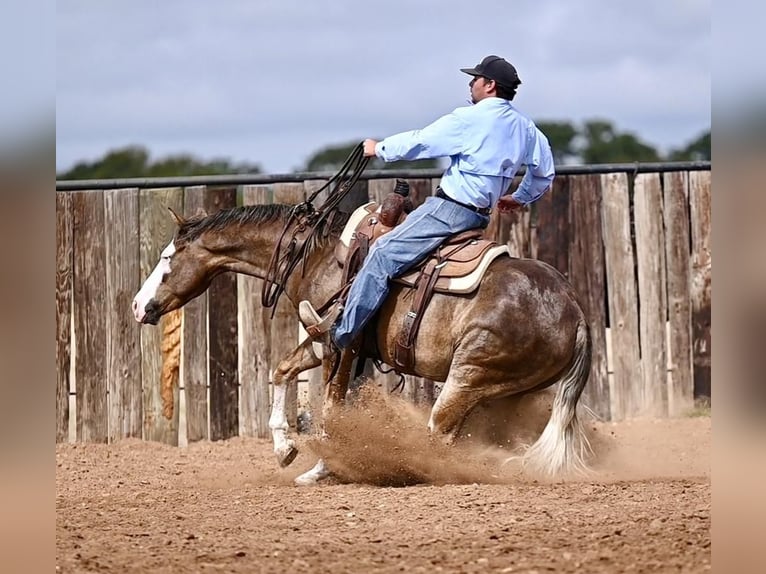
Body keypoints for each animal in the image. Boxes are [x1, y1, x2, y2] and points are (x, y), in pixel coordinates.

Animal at [134, 176, 592, 486]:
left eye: (168, 257)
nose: (139, 306)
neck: (315, 254)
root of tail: (576, 314)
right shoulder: (326, 341)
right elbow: (283, 370)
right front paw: (287, 449)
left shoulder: (344, 344)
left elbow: (333, 405)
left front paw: (323, 465)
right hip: (504, 393)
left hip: (469, 377)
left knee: (439, 436)